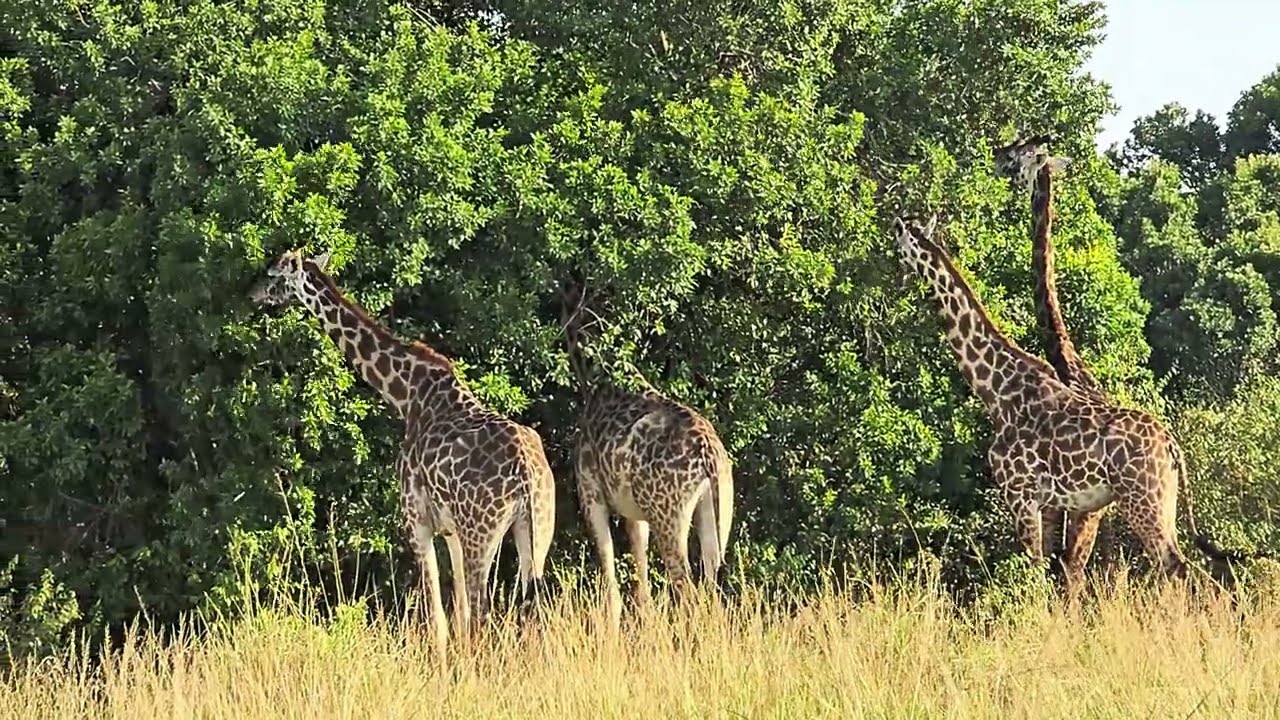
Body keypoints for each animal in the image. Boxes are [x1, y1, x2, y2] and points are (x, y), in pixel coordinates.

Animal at [250, 249, 556, 650]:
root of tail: (527, 474)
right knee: (527, 610)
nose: (253, 294)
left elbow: (440, 620)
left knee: (484, 615)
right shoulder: (451, 530)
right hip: (535, 528)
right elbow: (457, 617)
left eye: (274, 275)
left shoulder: (416, 519)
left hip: (483, 532)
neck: (406, 394)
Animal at [559, 280, 734, 628]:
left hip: (669, 516)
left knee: (688, 592)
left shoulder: (591, 493)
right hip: (715, 509)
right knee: (711, 587)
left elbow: (612, 590)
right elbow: (643, 590)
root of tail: (709, 455)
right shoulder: (635, 512)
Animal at [891, 215, 1223, 599]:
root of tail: (1171, 445)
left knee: (1175, 567)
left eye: (898, 248)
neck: (996, 390)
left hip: (1142, 499)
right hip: (1163, 500)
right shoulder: (1050, 504)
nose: (896, 278)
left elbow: (1033, 572)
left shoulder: (1020, 495)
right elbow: (1051, 571)